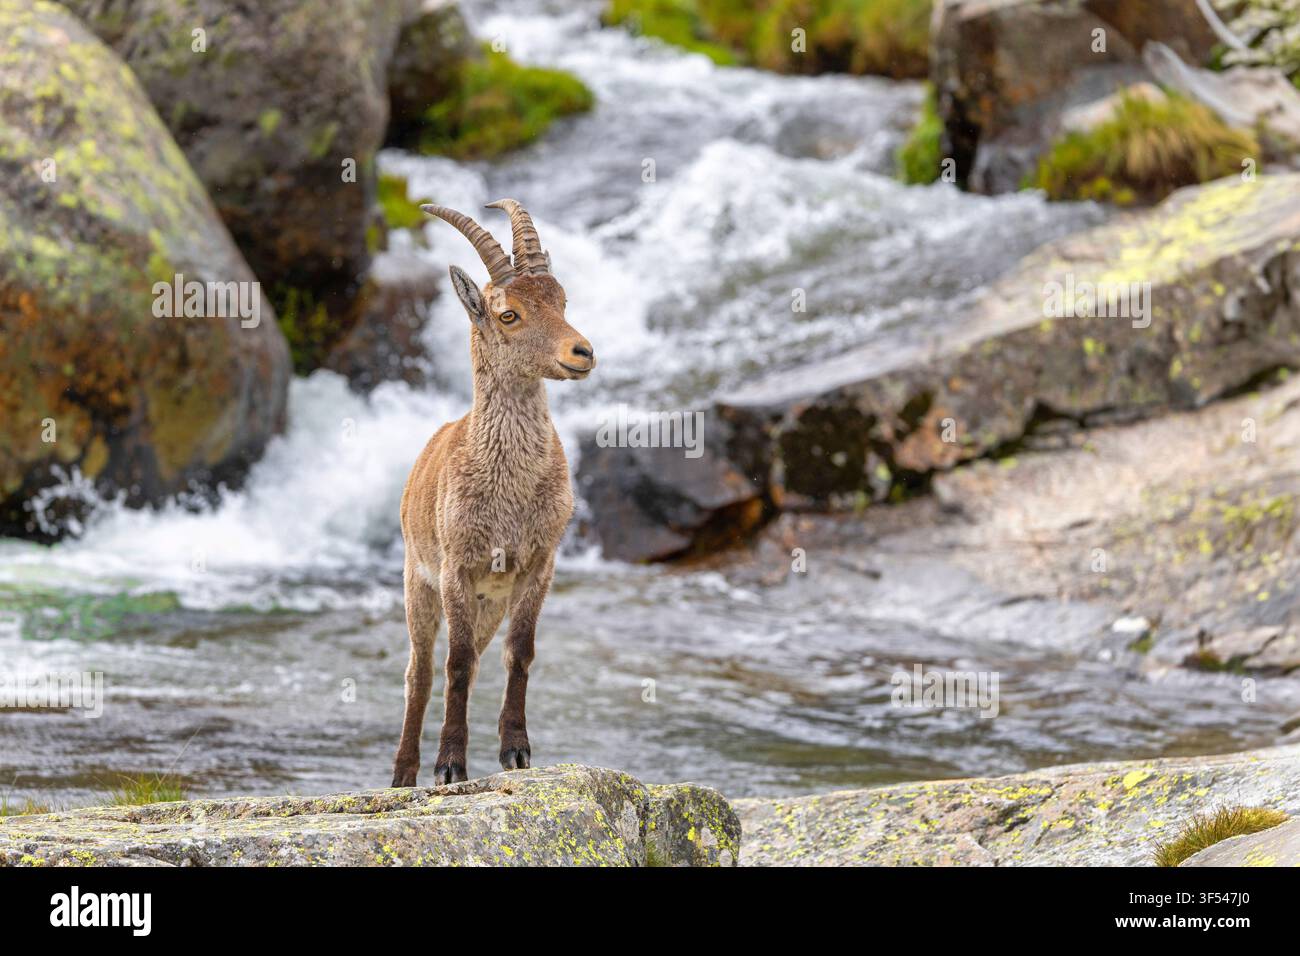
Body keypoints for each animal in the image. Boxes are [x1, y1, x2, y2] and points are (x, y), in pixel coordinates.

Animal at [391, 199, 594, 786]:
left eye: (562, 300)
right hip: (419, 583)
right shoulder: (457, 567)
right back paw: (405, 772)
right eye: (508, 314)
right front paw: (450, 764)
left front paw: (516, 751)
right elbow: (454, 664)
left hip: (488, 604)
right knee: (421, 670)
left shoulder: (538, 566)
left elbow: (519, 654)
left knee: (477, 660)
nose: (582, 352)